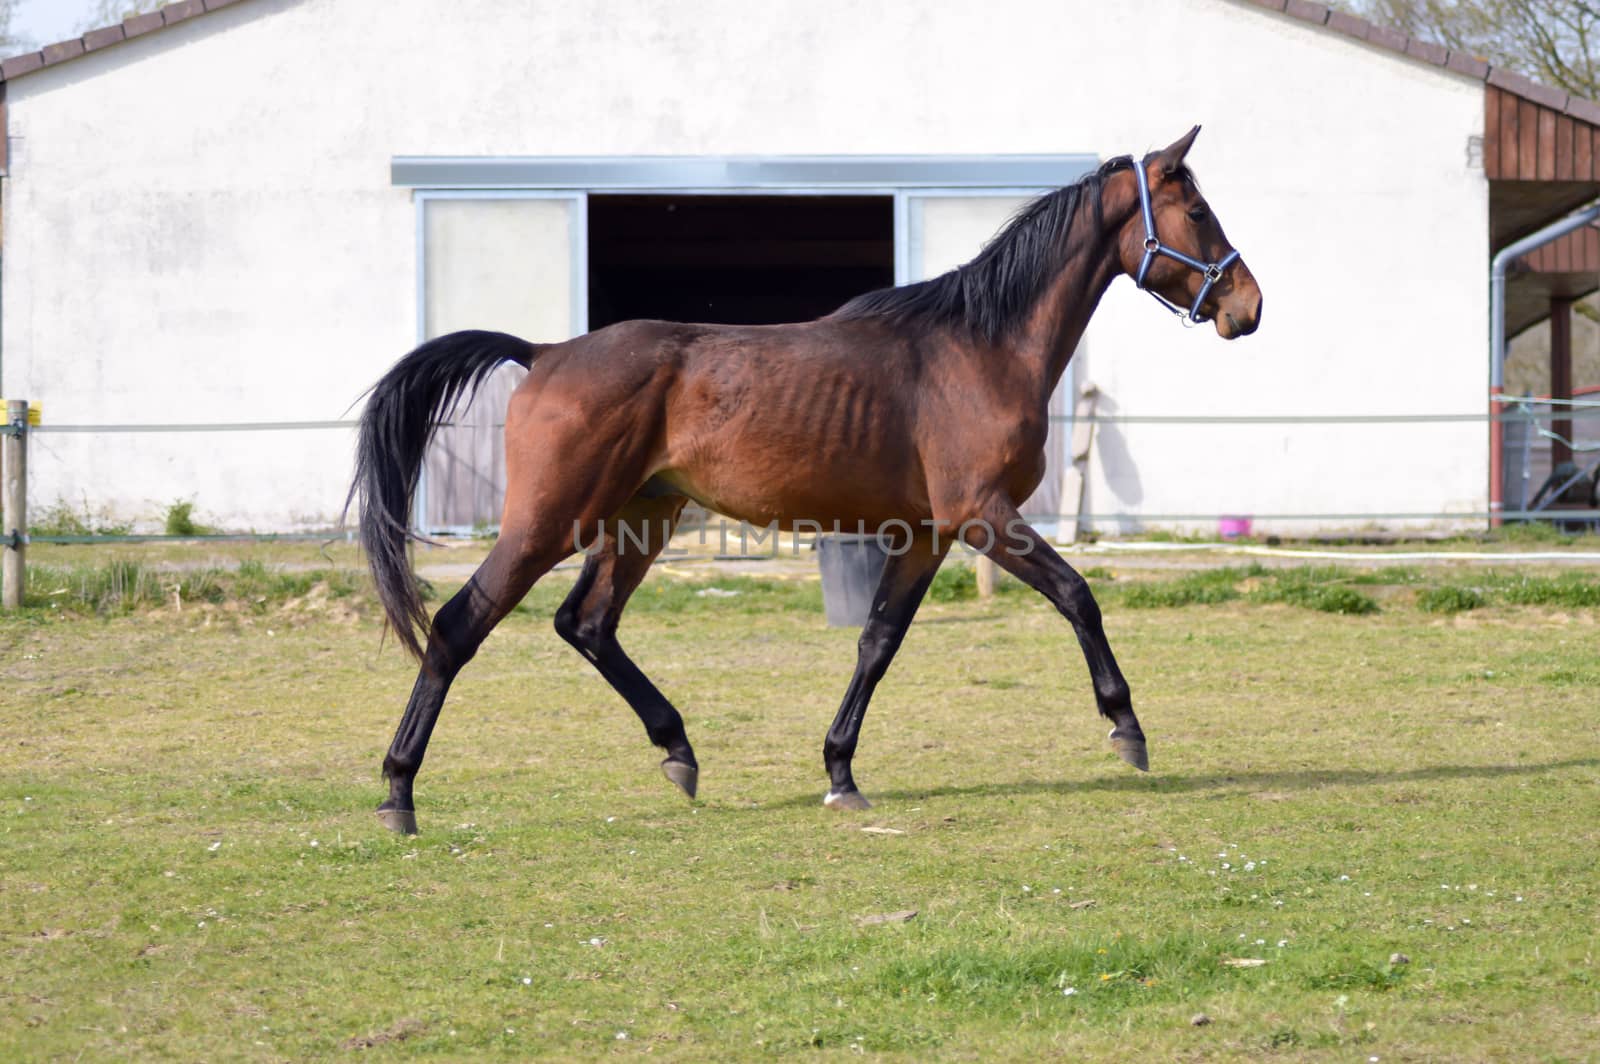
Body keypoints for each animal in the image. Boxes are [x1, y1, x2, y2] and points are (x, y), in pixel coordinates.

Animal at [350, 128, 1260, 832]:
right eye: (1198, 212)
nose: (1247, 307)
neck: (981, 346)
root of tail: (544, 354)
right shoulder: (982, 515)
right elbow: (1078, 594)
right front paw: (1126, 727)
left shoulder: (927, 533)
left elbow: (878, 643)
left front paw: (840, 773)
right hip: (552, 521)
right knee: (459, 626)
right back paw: (398, 794)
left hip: (643, 518)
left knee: (587, 623)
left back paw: (678, 750)